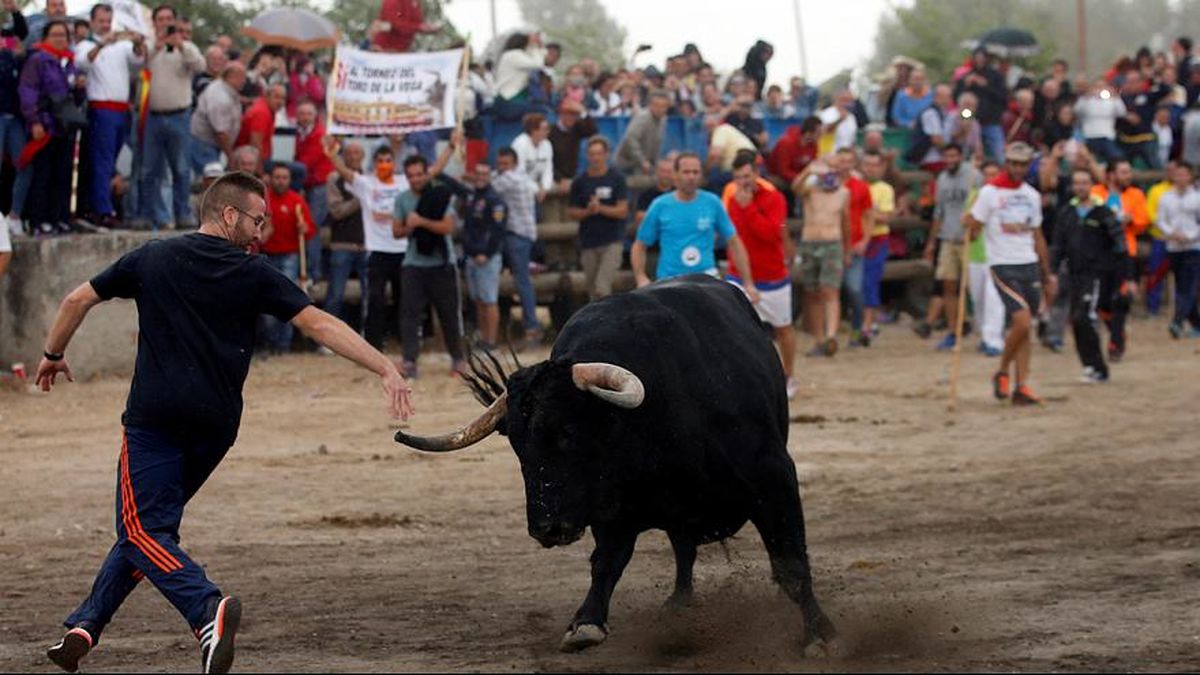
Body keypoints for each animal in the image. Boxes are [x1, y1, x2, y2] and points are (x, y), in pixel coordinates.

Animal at [393, 273, 835, 653]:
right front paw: (586, 622)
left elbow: (792, 563)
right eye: (517, 445)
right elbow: (607, 562)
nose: (547, 527)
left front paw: (819, 635)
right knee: (683, 548)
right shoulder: (612, 507)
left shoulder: (773, 476)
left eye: (569, 432)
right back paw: (679, 602)